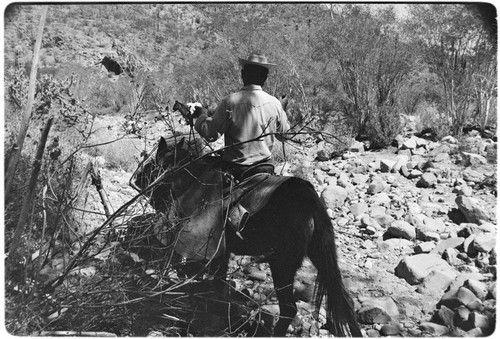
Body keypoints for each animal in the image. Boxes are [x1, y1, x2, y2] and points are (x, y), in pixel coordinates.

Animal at [131, 137, 362, 338]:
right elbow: (219, 284)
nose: (139, 181)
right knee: (343, 301)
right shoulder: (222, 254)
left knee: (289, 308)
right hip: (318, 255)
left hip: (282, 263)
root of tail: (310, 201)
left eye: (155, 163)